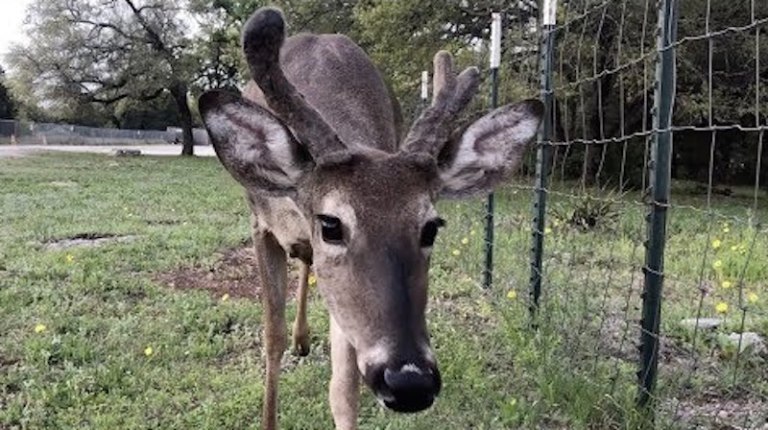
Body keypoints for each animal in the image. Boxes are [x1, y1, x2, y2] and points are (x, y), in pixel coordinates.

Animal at [198, 7, 544, 430]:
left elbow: (344, 388)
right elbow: (272, 337)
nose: (410, 381)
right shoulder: (260, 225)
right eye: (331, 224)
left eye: (431, 228)